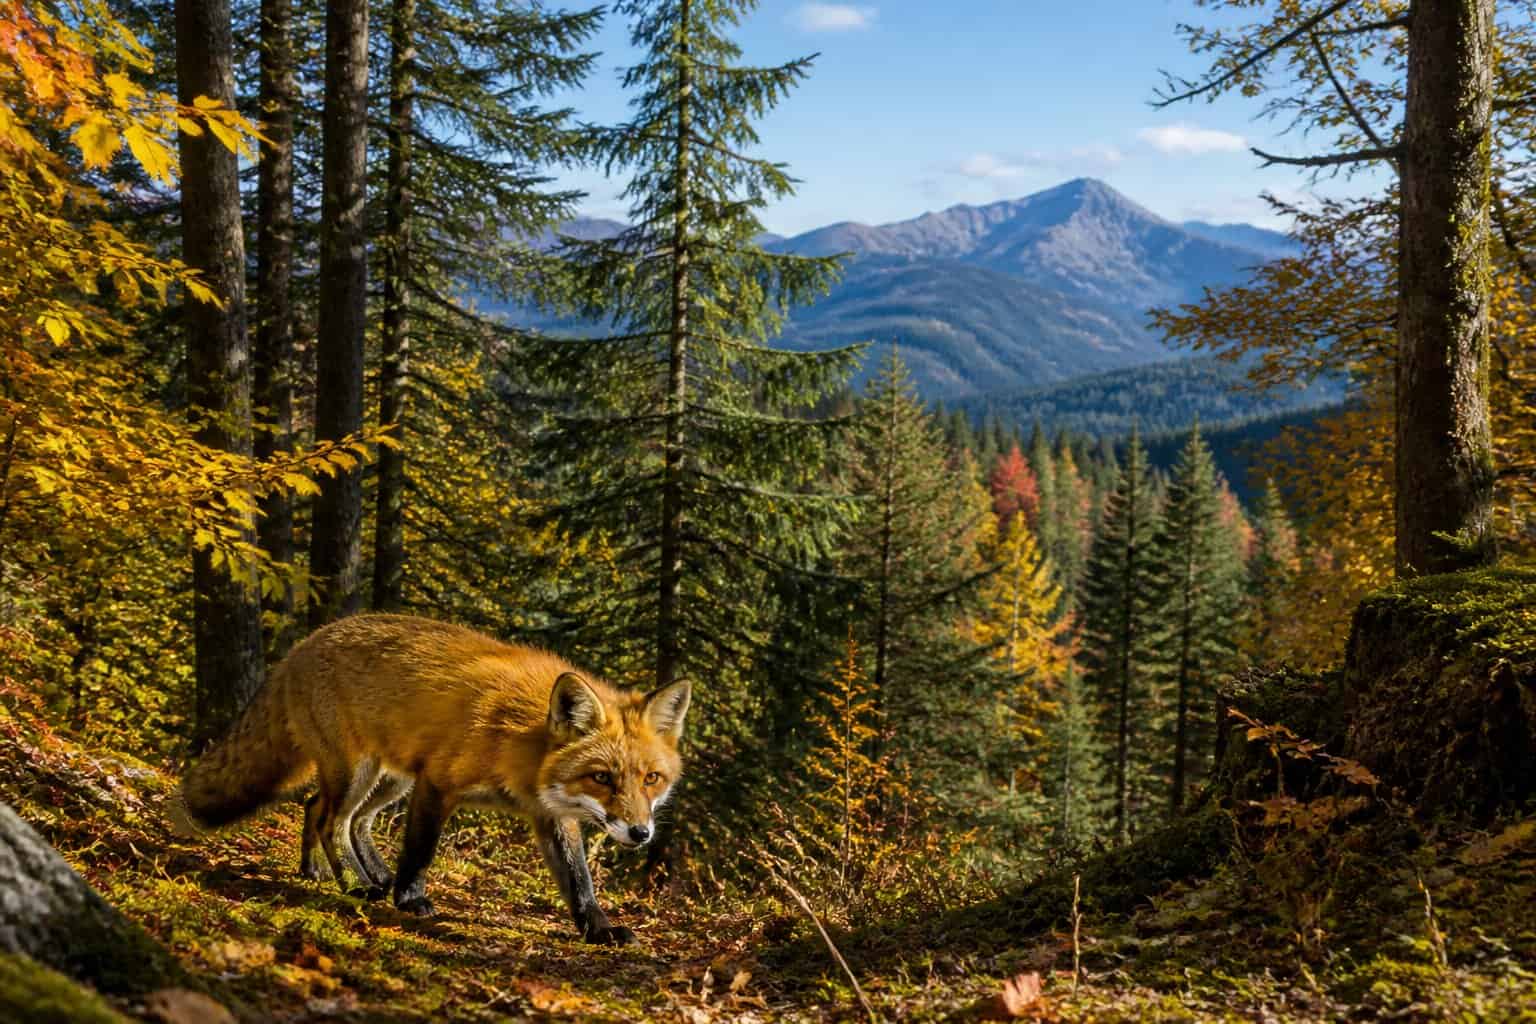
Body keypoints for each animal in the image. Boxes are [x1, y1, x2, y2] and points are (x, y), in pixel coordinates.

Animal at [169, 613, 690, 945]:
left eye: (651, 778)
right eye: (602, 777)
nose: (641, 833)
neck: (521, 745)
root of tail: (304, 643)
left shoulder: (550, 814)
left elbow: (579, 879)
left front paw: (598, 930)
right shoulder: (437, 783)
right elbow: (421, 849)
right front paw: (411, 898)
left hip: (388, 780)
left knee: (328, 811)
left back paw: (336, 872)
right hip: (360, 772)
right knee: (331, 820)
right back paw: (356, 885)